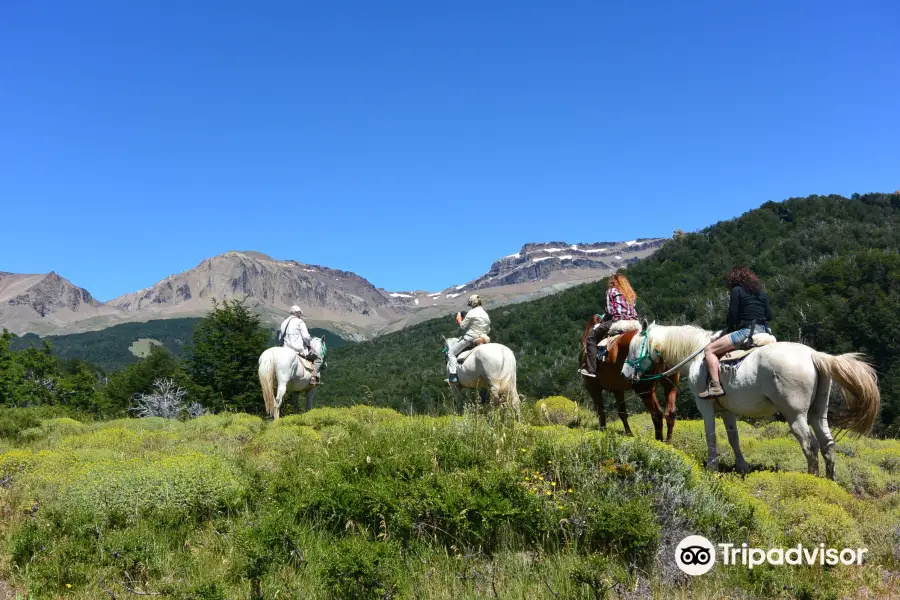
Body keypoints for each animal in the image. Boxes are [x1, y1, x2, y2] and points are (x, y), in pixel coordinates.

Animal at [620, 324, 880, 478]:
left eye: (633, 348)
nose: (624, 373)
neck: (696, 355)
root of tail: (813, 355)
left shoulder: (705, 407)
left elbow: (711, 436)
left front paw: (712, 466)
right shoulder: (727, 411)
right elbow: (733, 438)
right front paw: (742, 467)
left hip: (795, 415)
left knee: (810, 446)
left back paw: (812, 479)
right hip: (818, 414)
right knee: (827, 445)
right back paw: (831, 481)